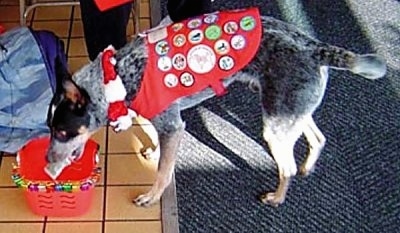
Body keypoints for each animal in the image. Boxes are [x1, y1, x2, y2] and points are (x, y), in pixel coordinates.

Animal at [45, 7, 386, 208]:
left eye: (62, 132)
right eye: (49, 129)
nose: (47, 167)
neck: (117, 75)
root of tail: (317, 48)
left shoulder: (172, 125)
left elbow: (163, 172)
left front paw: (152, 196)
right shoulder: (165, 119)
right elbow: (156, 141)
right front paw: (153, 151)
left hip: (275, 125)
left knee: (286, 166)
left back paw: (276, 197)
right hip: (289, 110)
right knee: (317, 137)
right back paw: (307, 167)